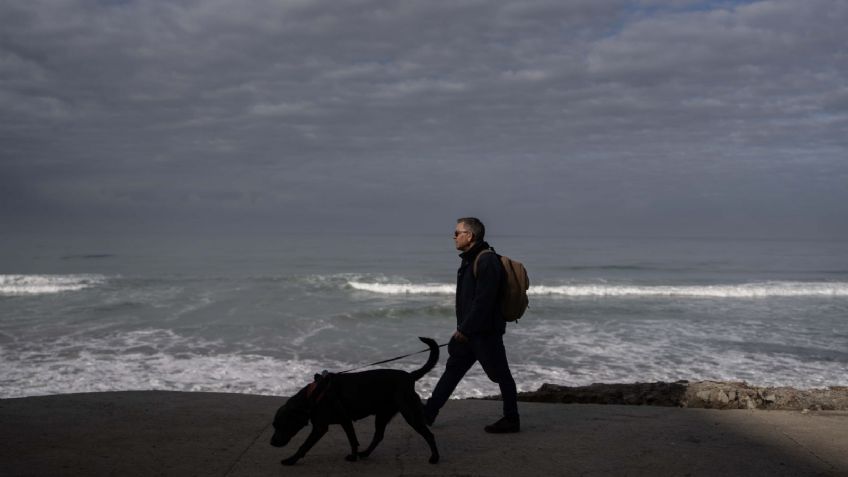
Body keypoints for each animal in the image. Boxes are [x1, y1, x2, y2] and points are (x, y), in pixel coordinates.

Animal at [272, 334, 444, 464]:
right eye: (274, 425)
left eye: (282, 425)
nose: (271, 443)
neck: (314, 395)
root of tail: (410, 377)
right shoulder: (345, 422)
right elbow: (353, 440)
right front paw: (354, 456)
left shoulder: (323, 427)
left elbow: (305, 445)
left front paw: (290, 460)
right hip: (382, 415)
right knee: (378, 436)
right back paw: (365, 453)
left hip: (410, 414)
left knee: (429, 435)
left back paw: (435, 457)